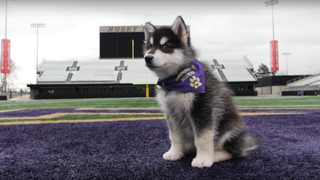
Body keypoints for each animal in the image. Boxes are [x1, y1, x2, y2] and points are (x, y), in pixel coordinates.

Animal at [144, 16, 258, 168]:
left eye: (165, 47)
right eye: (149, 47)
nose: (147, 57)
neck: (177, 78)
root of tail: (243, 143)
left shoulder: (202, 108)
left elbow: (203, 137)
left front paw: (203, 158)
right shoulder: (171, 112)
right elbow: (175, 136)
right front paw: (175, 153)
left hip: (230, 128)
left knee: (234, 152)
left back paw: (215, 155)